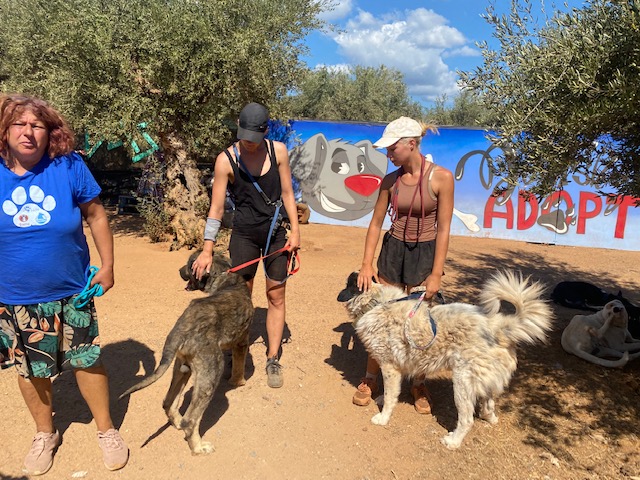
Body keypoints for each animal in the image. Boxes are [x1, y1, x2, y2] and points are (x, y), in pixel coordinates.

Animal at [120, 253, 252, 456]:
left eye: (189, 266)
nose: (178, 271)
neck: (225, 277)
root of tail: (181, 328)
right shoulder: (242, 341)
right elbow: (239, 365)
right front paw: (238, 382)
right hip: (210, 374)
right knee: (190, 421)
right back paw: (198, 447)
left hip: (182, 367)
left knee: (168, 402)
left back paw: (176, 422)